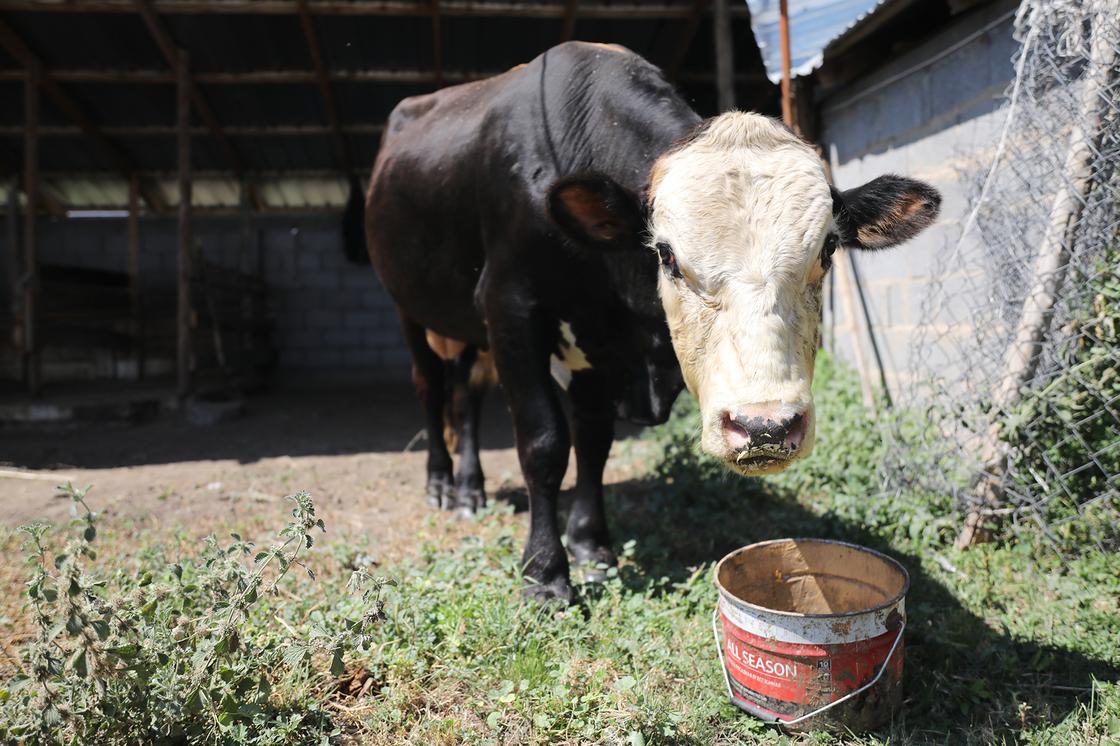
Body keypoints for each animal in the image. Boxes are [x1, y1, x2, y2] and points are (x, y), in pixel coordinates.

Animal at [364, 42, 940, 602]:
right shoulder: (511, 308)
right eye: (665, 254)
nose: (766, 427)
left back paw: (469, 487)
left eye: (828, 248)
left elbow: (593, 443)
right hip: (410, 307)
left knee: (465, 392)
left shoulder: (602, 345)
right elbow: (544, 442)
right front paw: (545, 574)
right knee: (433, 387)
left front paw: (591, 546)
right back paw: (443, 484)